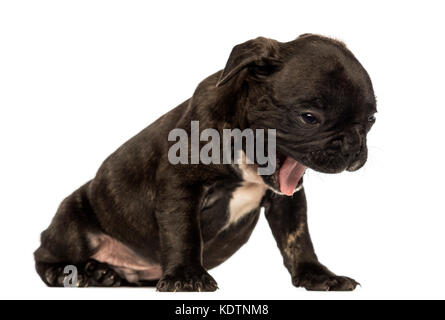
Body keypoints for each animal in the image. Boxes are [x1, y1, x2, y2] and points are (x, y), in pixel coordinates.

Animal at [33, 33, 374, 292]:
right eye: (309, 118)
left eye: (371, 120)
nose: (352, 147)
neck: (245, 151)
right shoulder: (180, 186)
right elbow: (183, 233)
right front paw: (187, 276)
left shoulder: (287, 202)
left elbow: (298, 239)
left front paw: (318, 275)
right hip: (73, 223)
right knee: (44, 252)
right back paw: (71, 273)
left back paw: (102, 274)